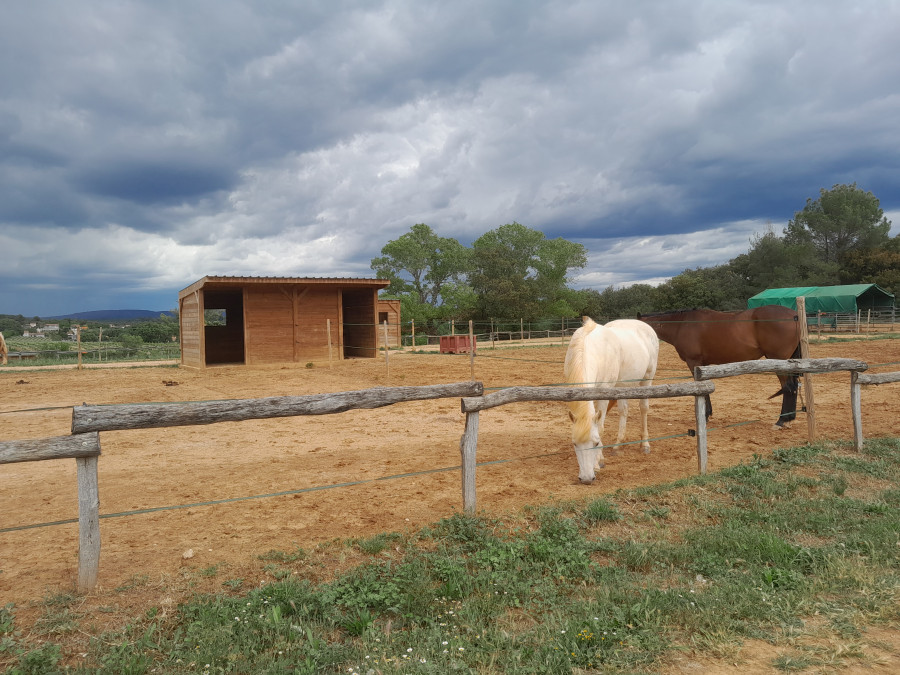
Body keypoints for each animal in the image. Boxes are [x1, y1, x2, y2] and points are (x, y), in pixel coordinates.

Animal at [568, 318, 656, 484]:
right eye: (575, 444)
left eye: (595, 443)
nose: (587, 479)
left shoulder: (603, 392)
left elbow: (600, 427)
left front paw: (598, 462)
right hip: (621, 386)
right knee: (624, 411)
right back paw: (617, 446)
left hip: (647, 379)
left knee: (643, 408)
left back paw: (645, 445)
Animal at [640, 306, 800, 428]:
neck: (681, 324)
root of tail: (794, 315)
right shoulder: (703, 365)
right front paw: (708, 413)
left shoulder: (694, 362)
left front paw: (704, 416)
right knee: (794, 387)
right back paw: (789, 418)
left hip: (779, 362)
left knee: (788, 387)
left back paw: (781, 421)